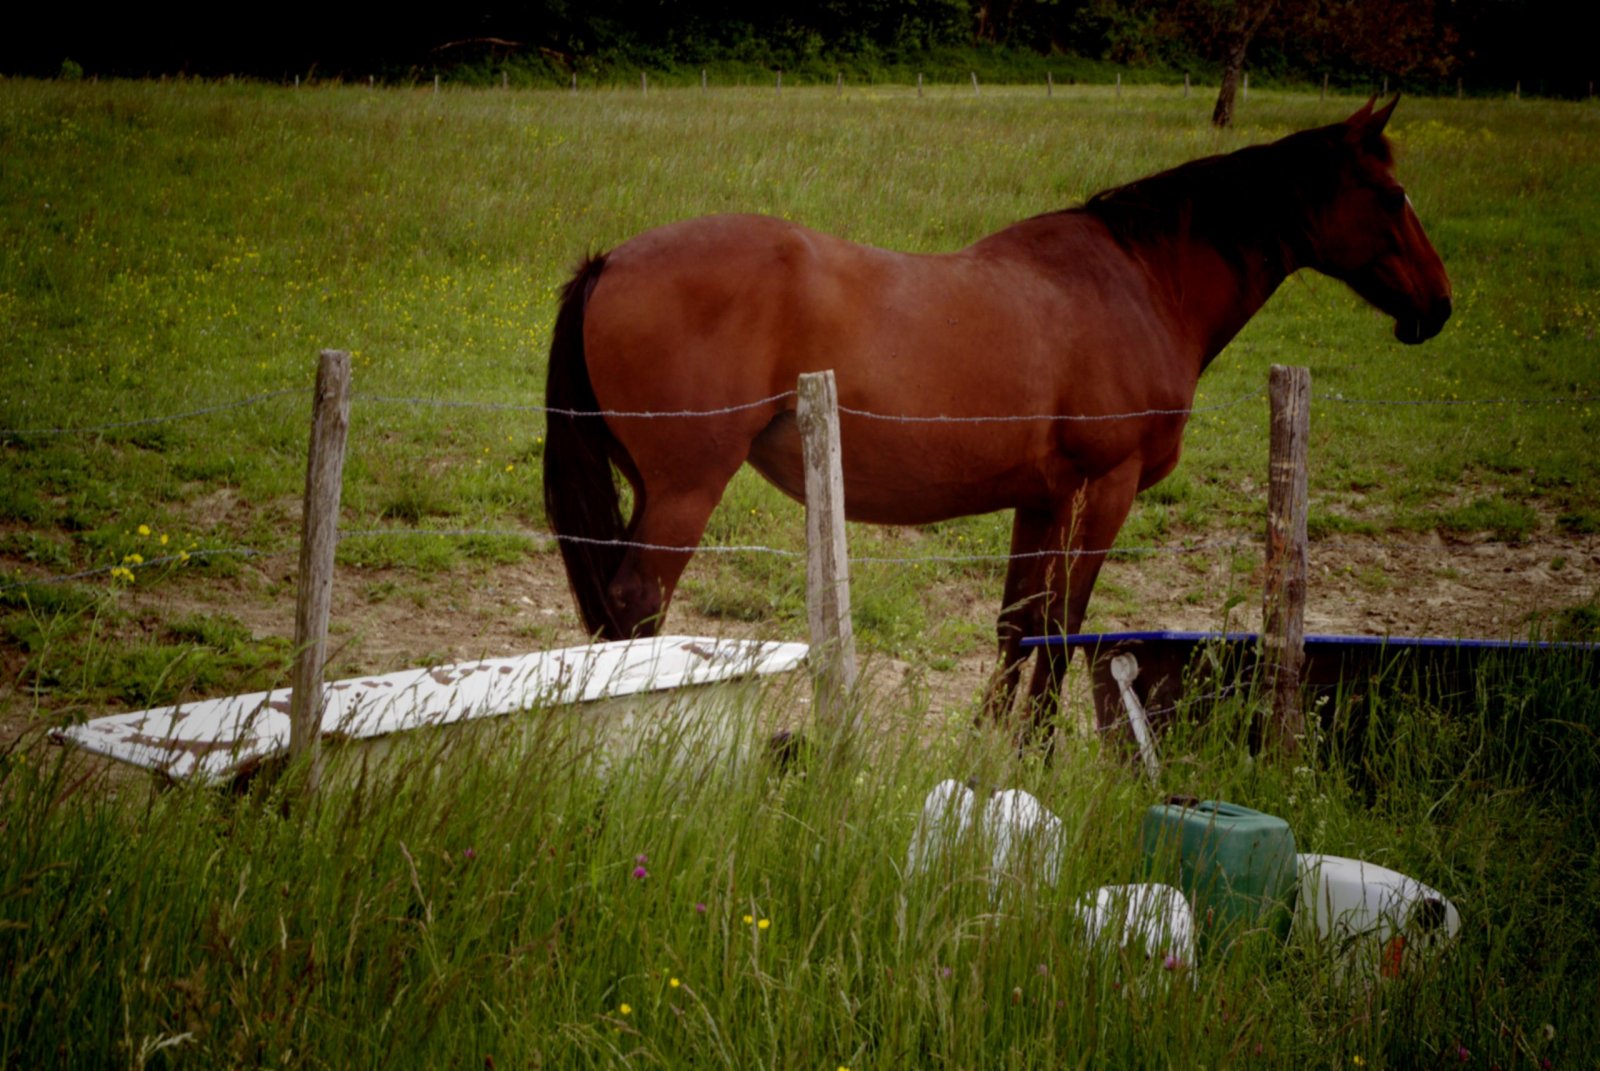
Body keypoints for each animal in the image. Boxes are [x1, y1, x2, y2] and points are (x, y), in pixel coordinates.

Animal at [537, 96, 1452, 739]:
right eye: (1391, 193)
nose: (1439, 306)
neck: (1137, 284)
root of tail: (609, 261)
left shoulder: (1041, 501)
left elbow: (1020, 626)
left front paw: (990, 750)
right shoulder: (1102, 491)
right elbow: (1063, 626)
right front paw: (1035, 751)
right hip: (683, 491)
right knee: (635, 604)